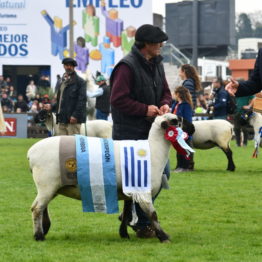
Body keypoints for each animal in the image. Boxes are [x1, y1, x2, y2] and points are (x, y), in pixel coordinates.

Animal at [27, 113, 191, 243]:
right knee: (37, 208)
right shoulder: (143, 192)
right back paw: (39, 236)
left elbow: (126, 214)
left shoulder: (129, 191)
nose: (190, 128)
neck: (154, 150)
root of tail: (30, 153)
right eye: (176, 120)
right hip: (47, 184)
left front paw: (124, 234)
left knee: (42, 207)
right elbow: (153, 215)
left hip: (52, 186)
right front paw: (163, 236)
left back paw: (44, 229)